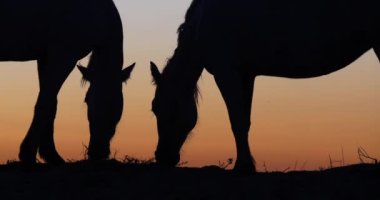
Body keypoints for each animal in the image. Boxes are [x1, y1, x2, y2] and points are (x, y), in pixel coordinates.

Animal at [0, 0, 135, 165]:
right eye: (87, 101)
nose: (97, 153)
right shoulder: (63, 56)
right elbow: (45, 104)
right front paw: (28, 154)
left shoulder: (46, 58)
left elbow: (51, 104)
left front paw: (51, 155)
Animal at [151, 0, 380, 173]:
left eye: (157, 107)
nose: (161, 157)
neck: (202, 23)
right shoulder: (246, 75)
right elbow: (245, 121)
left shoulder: (227, 73)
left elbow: (236, 121)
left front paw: (243, 166)